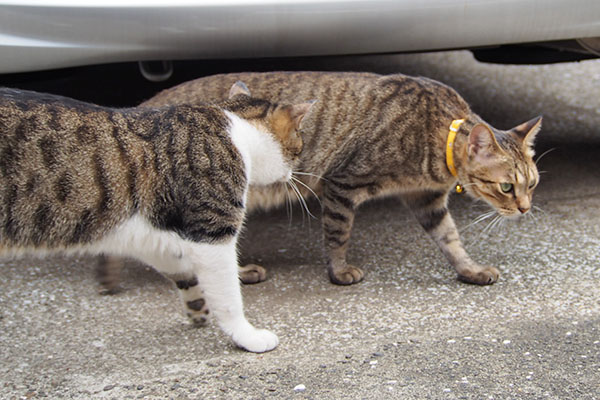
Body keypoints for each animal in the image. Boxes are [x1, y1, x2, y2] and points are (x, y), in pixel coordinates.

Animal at [1, 83, 314, 352]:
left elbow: (181, 268)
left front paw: (197, 306)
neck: (236, 130)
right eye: (298, 147)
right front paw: (247, 336)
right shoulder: (211, 234)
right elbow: (228, 296)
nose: (293, 173)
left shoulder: (144, 235)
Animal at [105, 72, 540, 290]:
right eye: (506, 187)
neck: (438, 137)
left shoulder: (426, 200)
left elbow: (451, 240)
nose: (525, 209)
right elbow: (338, 234)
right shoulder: (342, 183)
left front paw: (469, 269)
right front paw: (339, 272)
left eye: (532, 184)